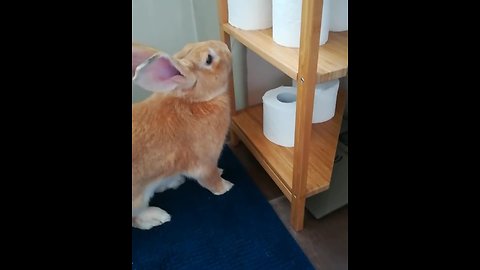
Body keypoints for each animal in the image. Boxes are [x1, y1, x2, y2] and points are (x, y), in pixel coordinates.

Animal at [132, 40, 233, 230]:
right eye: (208, 59)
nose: (225, 47)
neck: (195, 101)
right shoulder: (205, 163)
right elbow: (210, 180)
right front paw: (226, 187)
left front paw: (221, 171)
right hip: (138, 200)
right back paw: (157, 217)